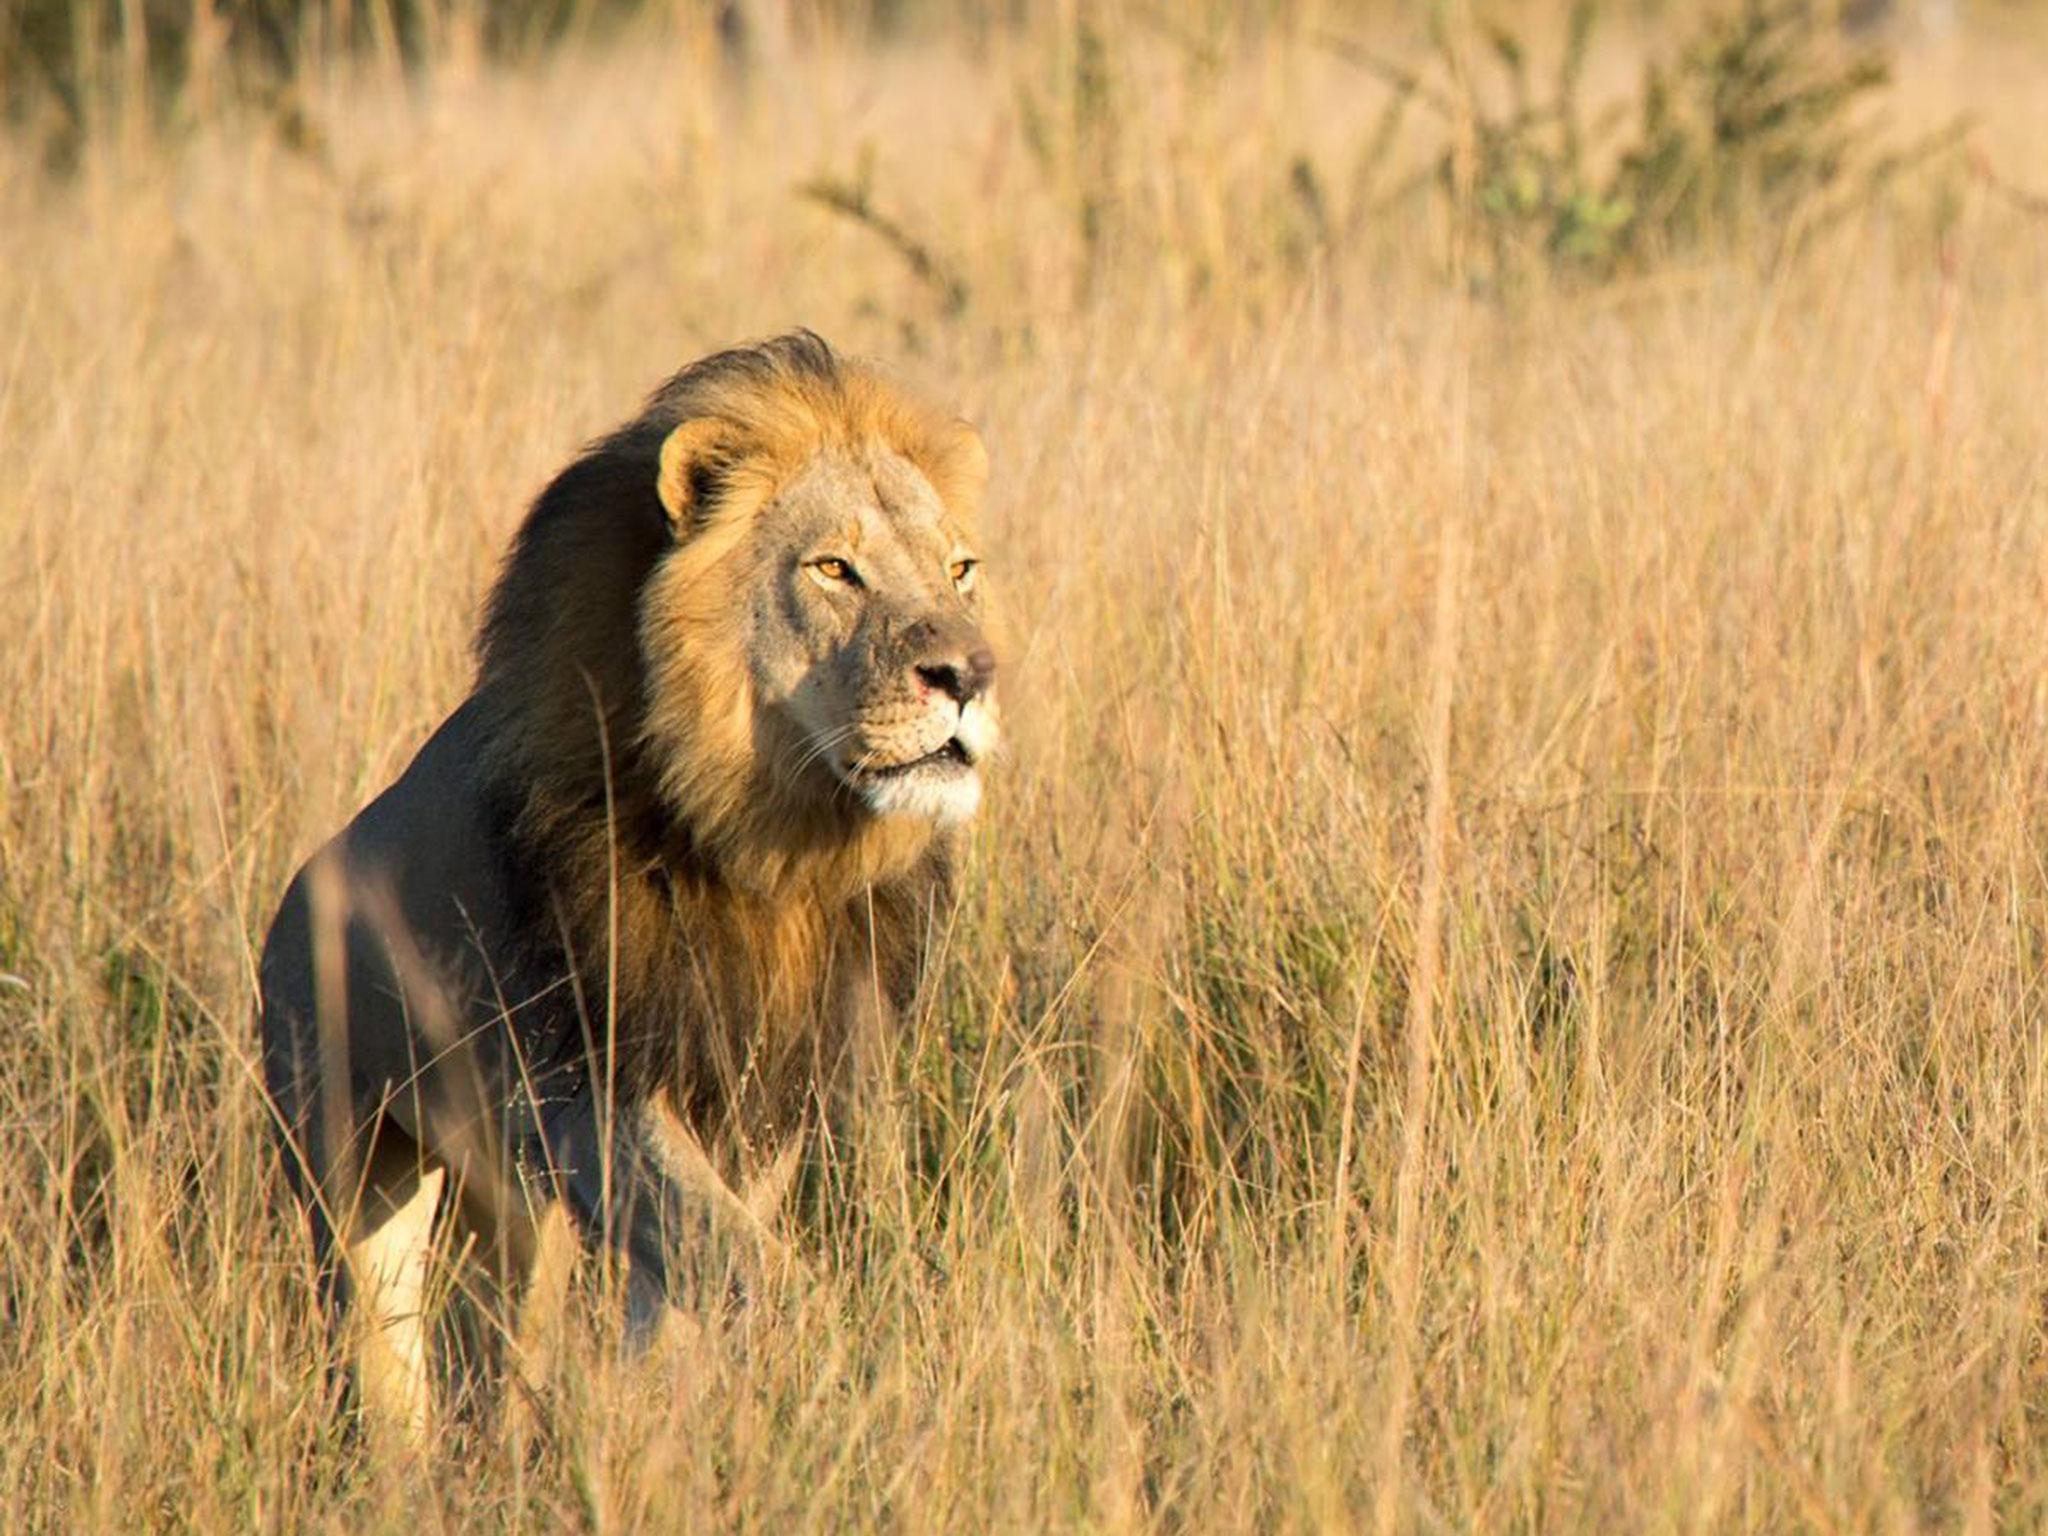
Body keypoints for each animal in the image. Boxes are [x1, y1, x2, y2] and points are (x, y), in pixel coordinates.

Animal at [260, 331, 995, 1441]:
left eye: (959, 569)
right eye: (833, 568)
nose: (969, 675)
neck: (771, 844)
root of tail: (295, 894)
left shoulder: (769, 1090)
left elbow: (692, 1268)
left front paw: (665, 1419)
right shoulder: (590, 1086)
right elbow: (727, 1248)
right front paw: (836, 1359)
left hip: (506, 1205)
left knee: (494, 1331)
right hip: (345, 1155)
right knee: (383, 1333)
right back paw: (402, 1455)